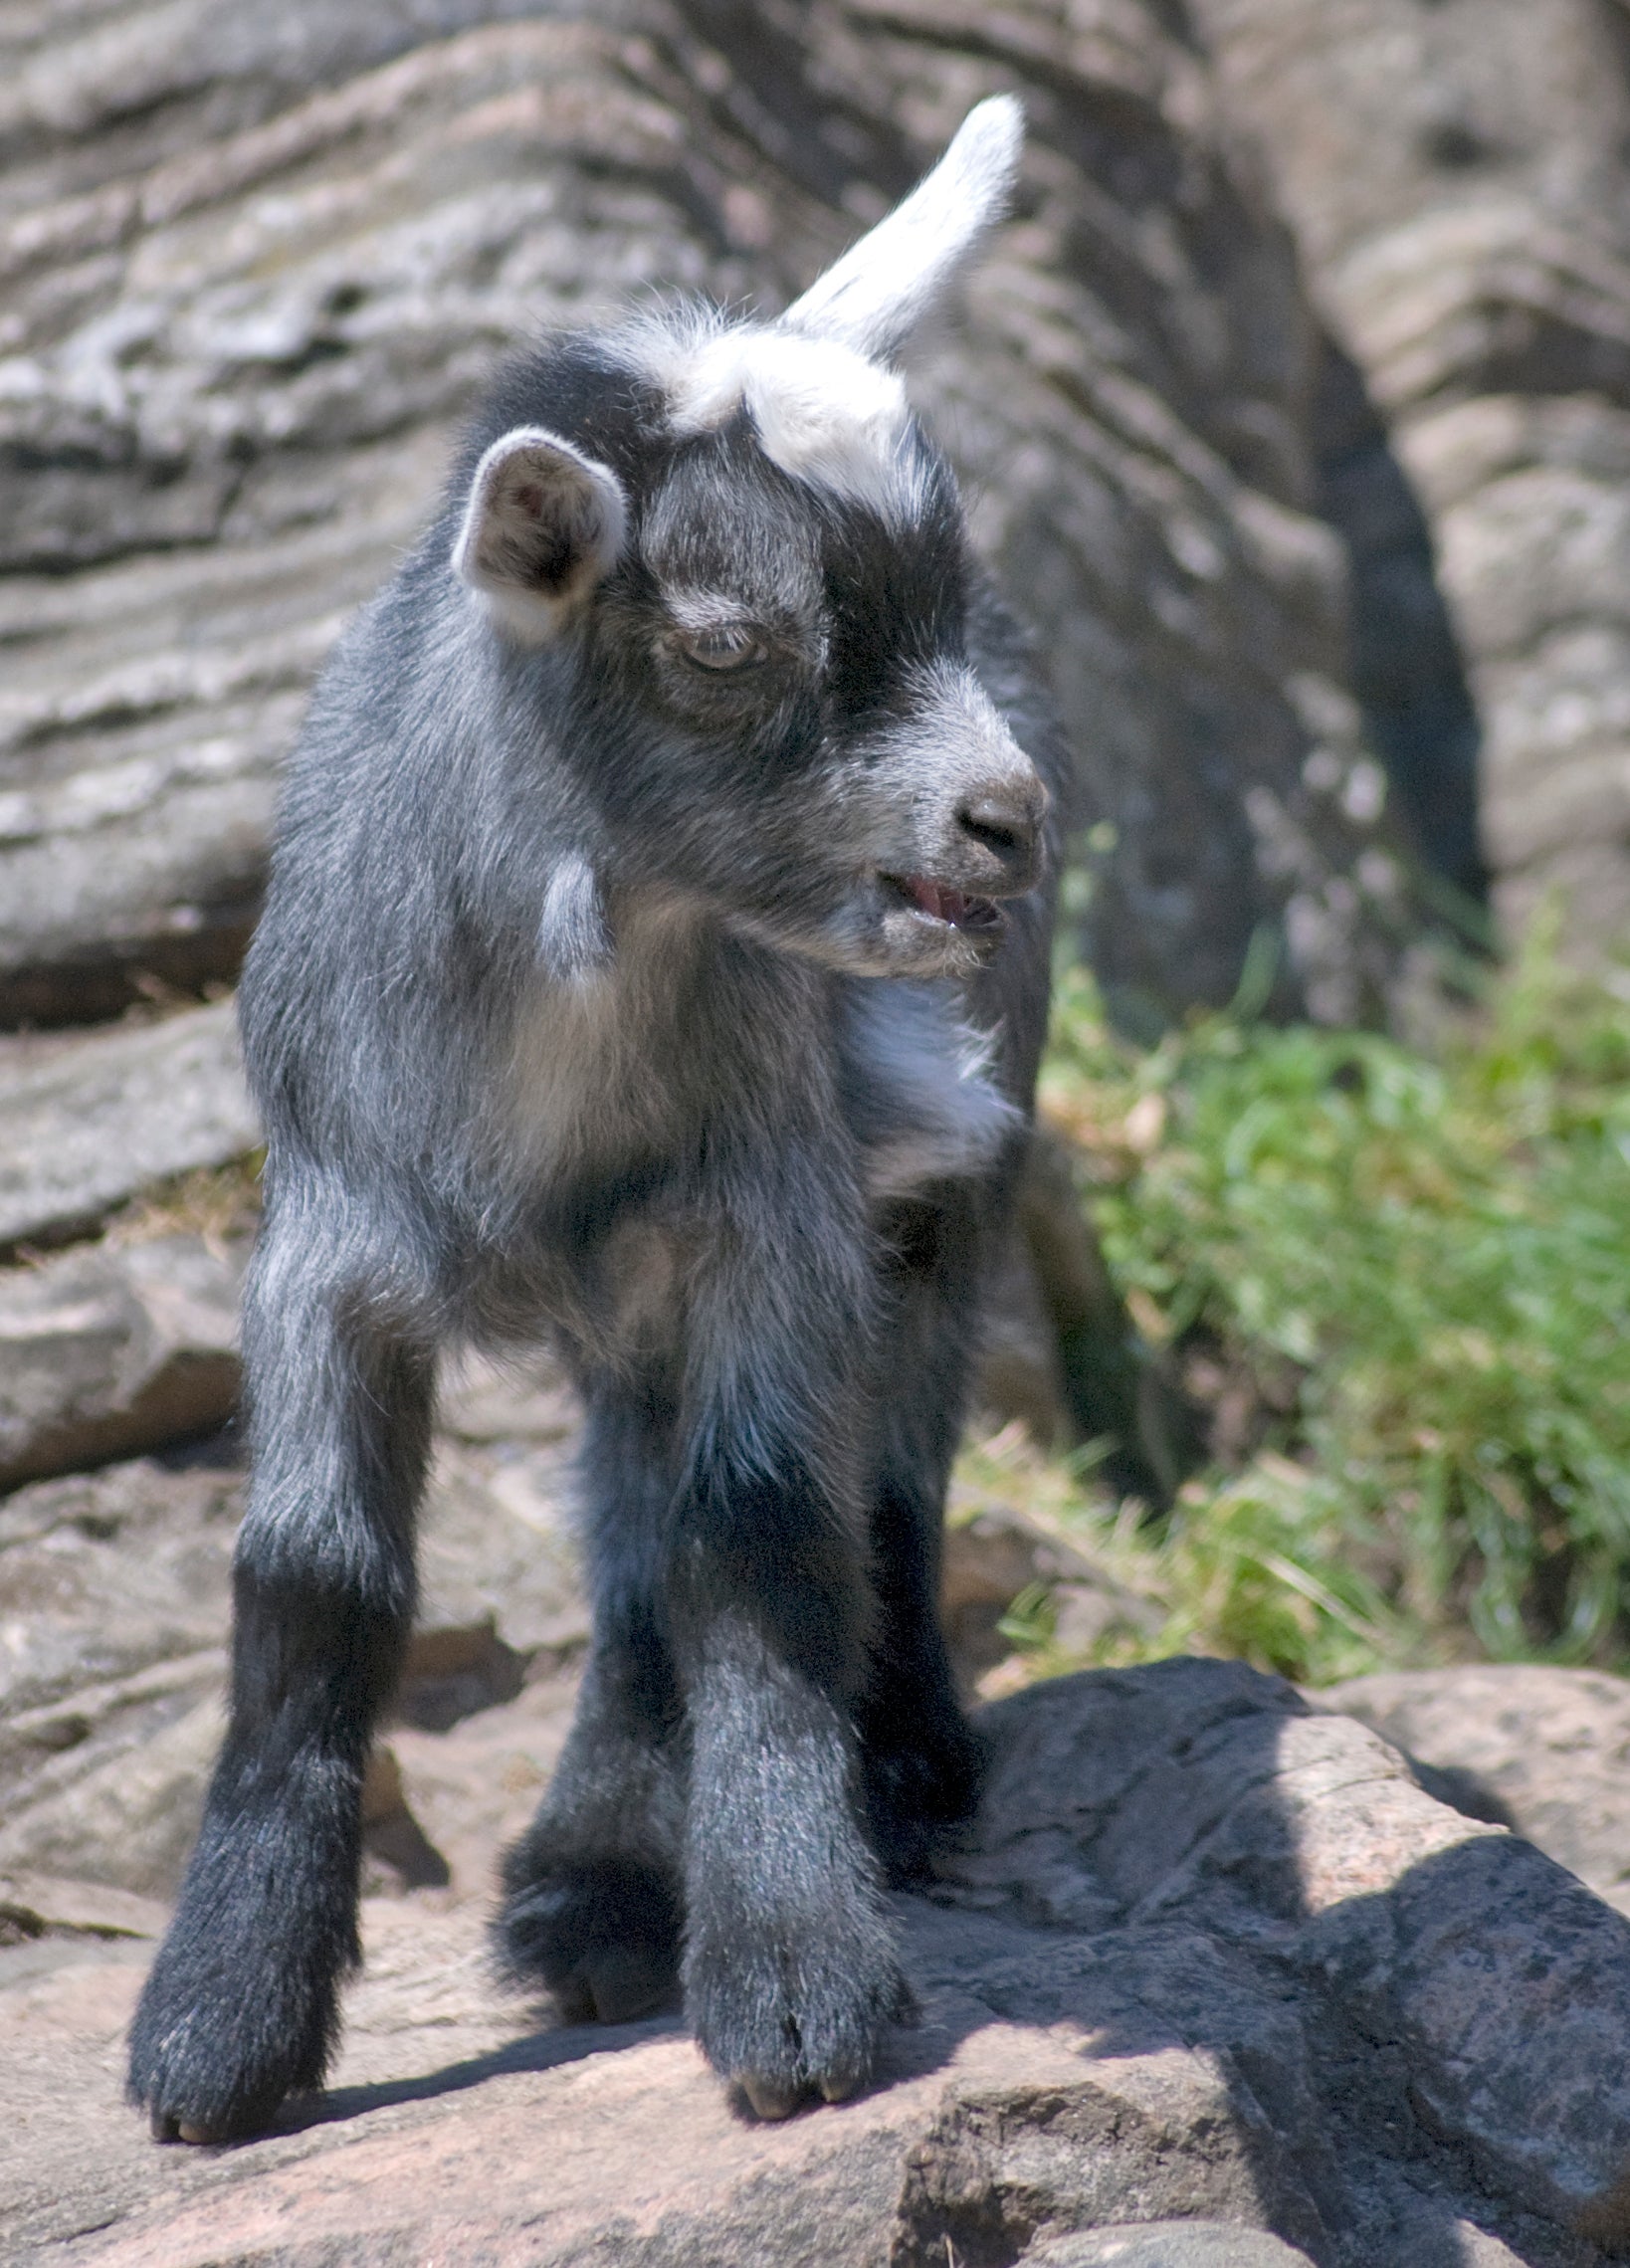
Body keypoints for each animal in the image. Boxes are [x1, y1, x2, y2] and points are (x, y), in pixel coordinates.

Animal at [129, 95, 1067, 2138]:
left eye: (956, 607)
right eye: (724, 642)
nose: (1004, 819)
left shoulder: (763, 1205)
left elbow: (763, 1536)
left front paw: (793, 1973)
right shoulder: (324, 1233)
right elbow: (310, 1585)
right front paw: (217, 2024)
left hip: (939, 1169)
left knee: (874, 1455)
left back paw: (887, 1770)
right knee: (632, 1514)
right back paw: (598, 1879)